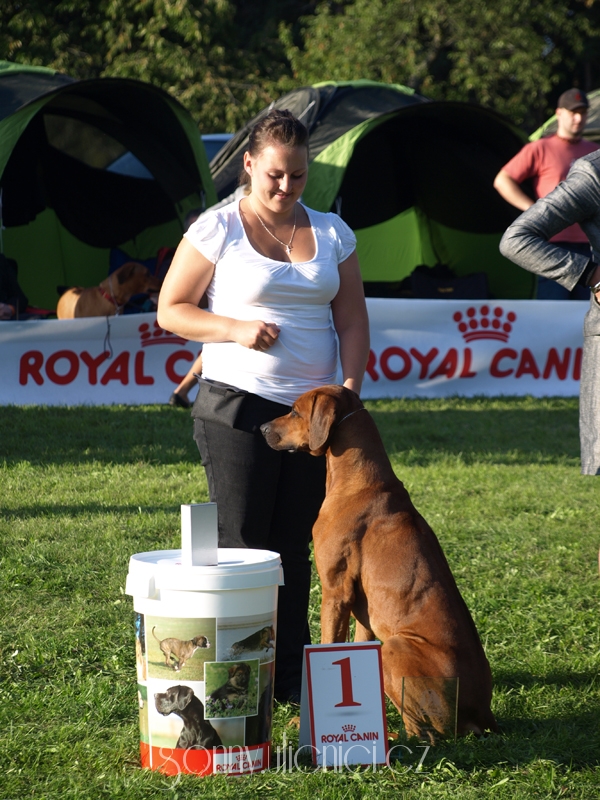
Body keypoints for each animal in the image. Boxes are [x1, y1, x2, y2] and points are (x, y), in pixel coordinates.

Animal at [261, 385, 498, 741]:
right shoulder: (364, 613)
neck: (359, 481)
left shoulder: (336, 593)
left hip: (395, 648)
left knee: (422, 734)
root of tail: (481, 715)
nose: (262, 428)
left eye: (294, 411)